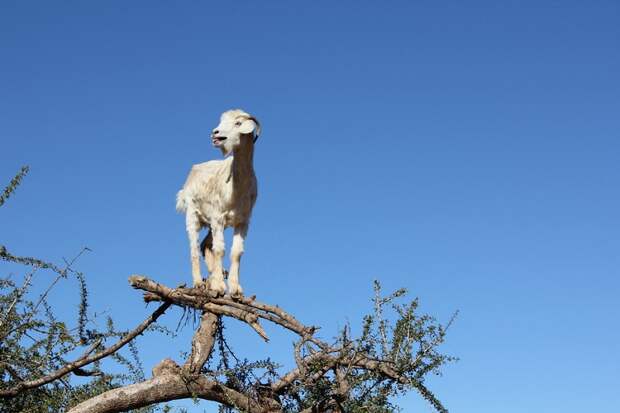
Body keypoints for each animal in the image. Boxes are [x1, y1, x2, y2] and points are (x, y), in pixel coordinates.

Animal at [176, 109, 260, 296]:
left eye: (238, 123)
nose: (215, 133)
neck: (237, 188)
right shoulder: (218, 217)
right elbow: (220, 249)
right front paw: (219, 286)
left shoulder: (242, 221)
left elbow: (236, 252)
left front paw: (236, 290)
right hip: (193, 216)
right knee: (194, 248)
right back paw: (199, 283)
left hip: (211, 224)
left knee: (205, 244)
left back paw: (214, 275)